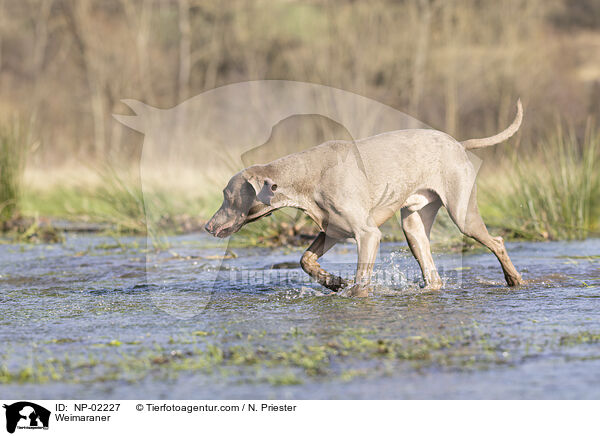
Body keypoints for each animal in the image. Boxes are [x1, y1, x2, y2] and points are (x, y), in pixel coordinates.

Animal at [207, 101, 524, 296]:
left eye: (227, 195)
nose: (208, 226)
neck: (306, 177)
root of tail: (458, 144)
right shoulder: (332, 230)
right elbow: (305, 260)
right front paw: (334, 283)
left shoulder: (367, 233)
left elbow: (361, 281)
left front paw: (350, 291)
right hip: (413, 226)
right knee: (431, 271)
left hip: (462, 213)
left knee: (496, 241)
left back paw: (514, 280)